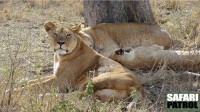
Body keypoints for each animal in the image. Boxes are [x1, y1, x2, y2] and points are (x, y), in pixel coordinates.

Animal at [11, 21, 144, 100]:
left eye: (68, 35)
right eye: (55, 34)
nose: (60, 43)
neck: (59, 56)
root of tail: (139, 86)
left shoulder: (60, 81)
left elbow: (35, 85)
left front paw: (13, 91)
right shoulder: (55, 75)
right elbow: (34, 81)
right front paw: (20, 82)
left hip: (94, 79)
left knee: (74, 96)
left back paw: (45, 96)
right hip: (101, 92)